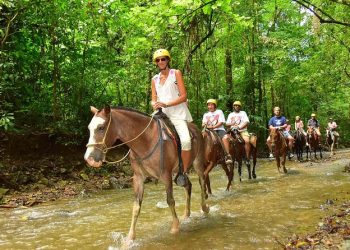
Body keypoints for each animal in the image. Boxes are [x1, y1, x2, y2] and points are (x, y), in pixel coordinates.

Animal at [84, 106, 211, 241]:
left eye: (101, 127)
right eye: (89, 128)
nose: (89, 158)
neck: (146, 141)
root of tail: (196, 128)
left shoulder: (166, 176)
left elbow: (170, 200)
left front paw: (175, 227)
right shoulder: (138, 177)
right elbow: (136, 206)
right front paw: (130, 238)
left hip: (197, 163)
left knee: (202, 181)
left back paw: (205, 208)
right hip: (179, 172)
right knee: (188, 185)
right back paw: (186, 215)